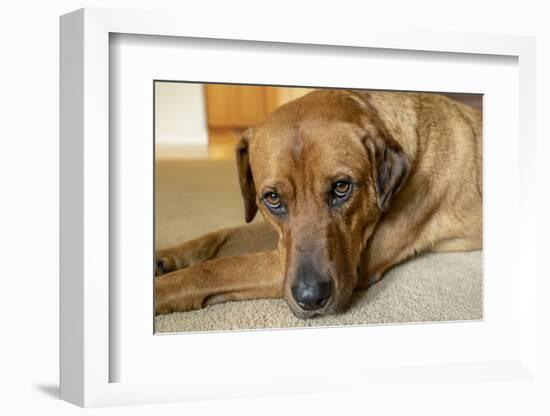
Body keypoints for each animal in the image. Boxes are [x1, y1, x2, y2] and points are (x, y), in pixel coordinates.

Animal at [155, 89, 484, 318]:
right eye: (273, 198)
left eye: (342, 187)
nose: (311, 298)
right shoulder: (280, 240)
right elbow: (220, 236)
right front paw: (165, 257)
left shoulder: (353, 266)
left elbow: (217, 268)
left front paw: (161, 289)